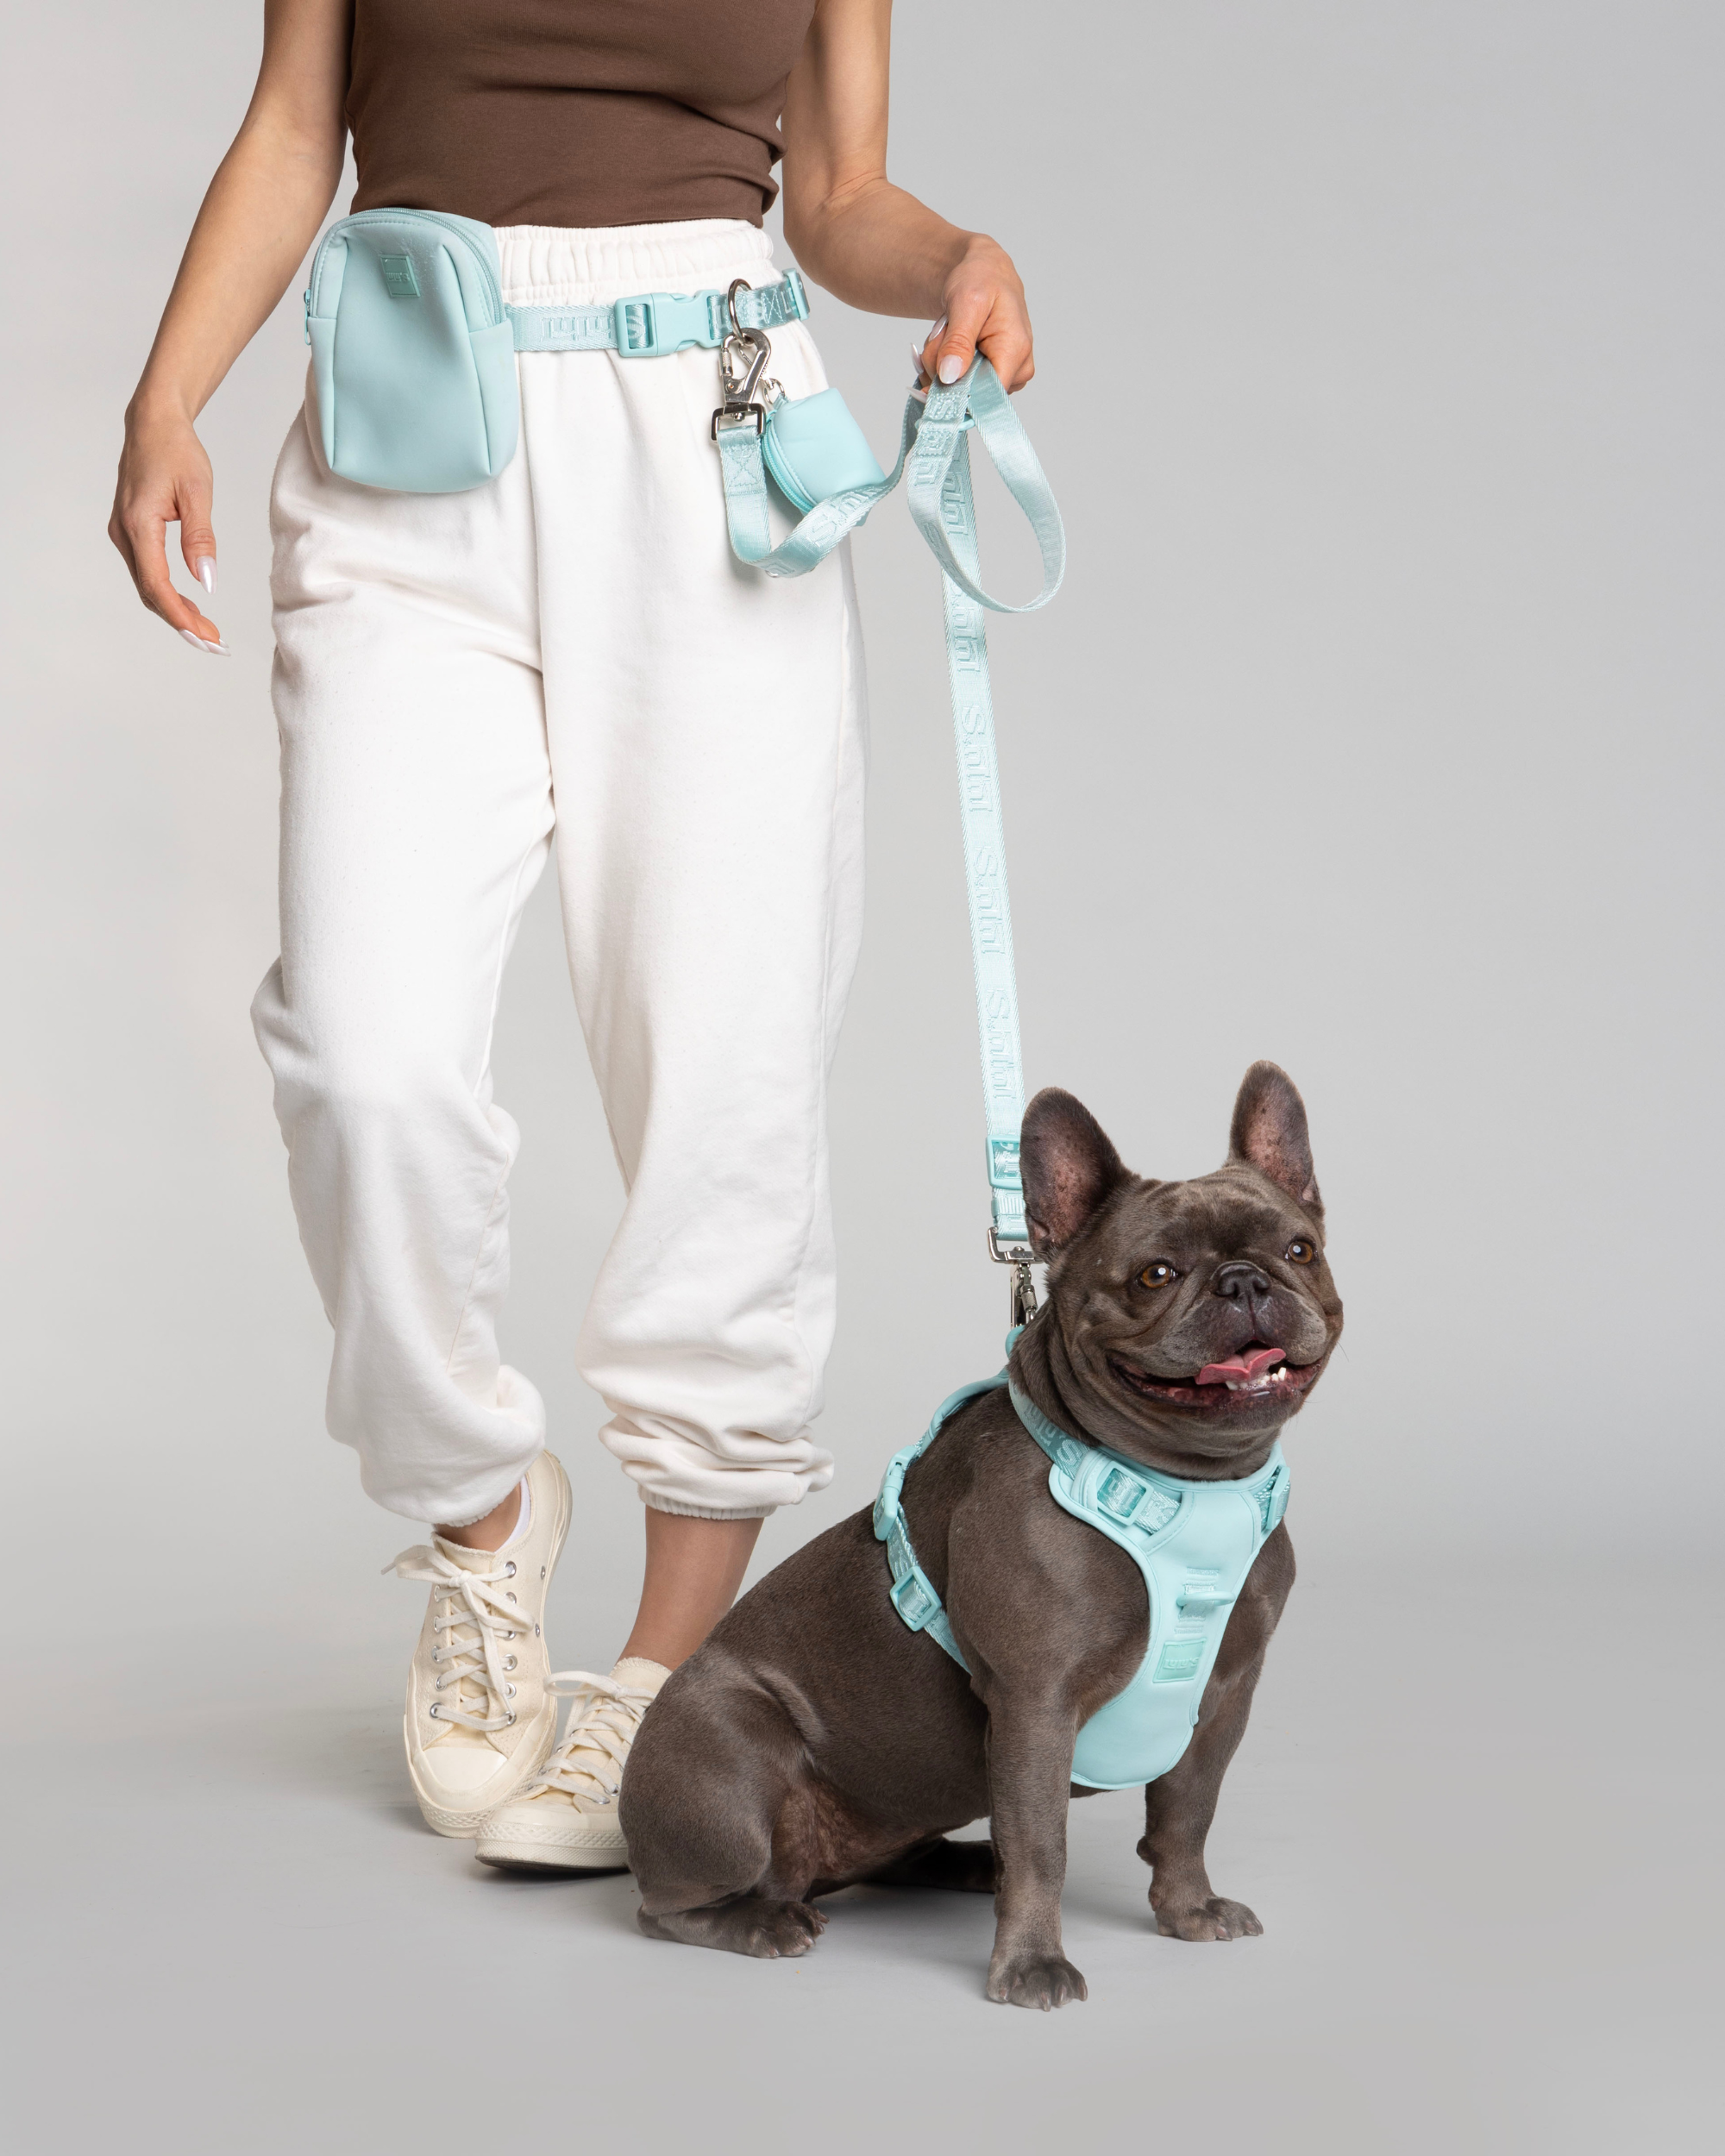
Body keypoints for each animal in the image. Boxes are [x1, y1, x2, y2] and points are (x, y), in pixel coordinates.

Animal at [621, 1061, 1346, 2001]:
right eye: (1155, 1274)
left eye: (1299, 1251)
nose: (1243, 1281)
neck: (1185, 1480)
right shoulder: (1036, 1702)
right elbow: (1042, 1846)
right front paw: (1032, 1962)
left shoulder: (1225, 1696)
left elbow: (1188, 1812)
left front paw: (1189, 1910)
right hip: (732, 1769)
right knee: (666, 1906)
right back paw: (761, 1922)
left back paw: (964, 1863)